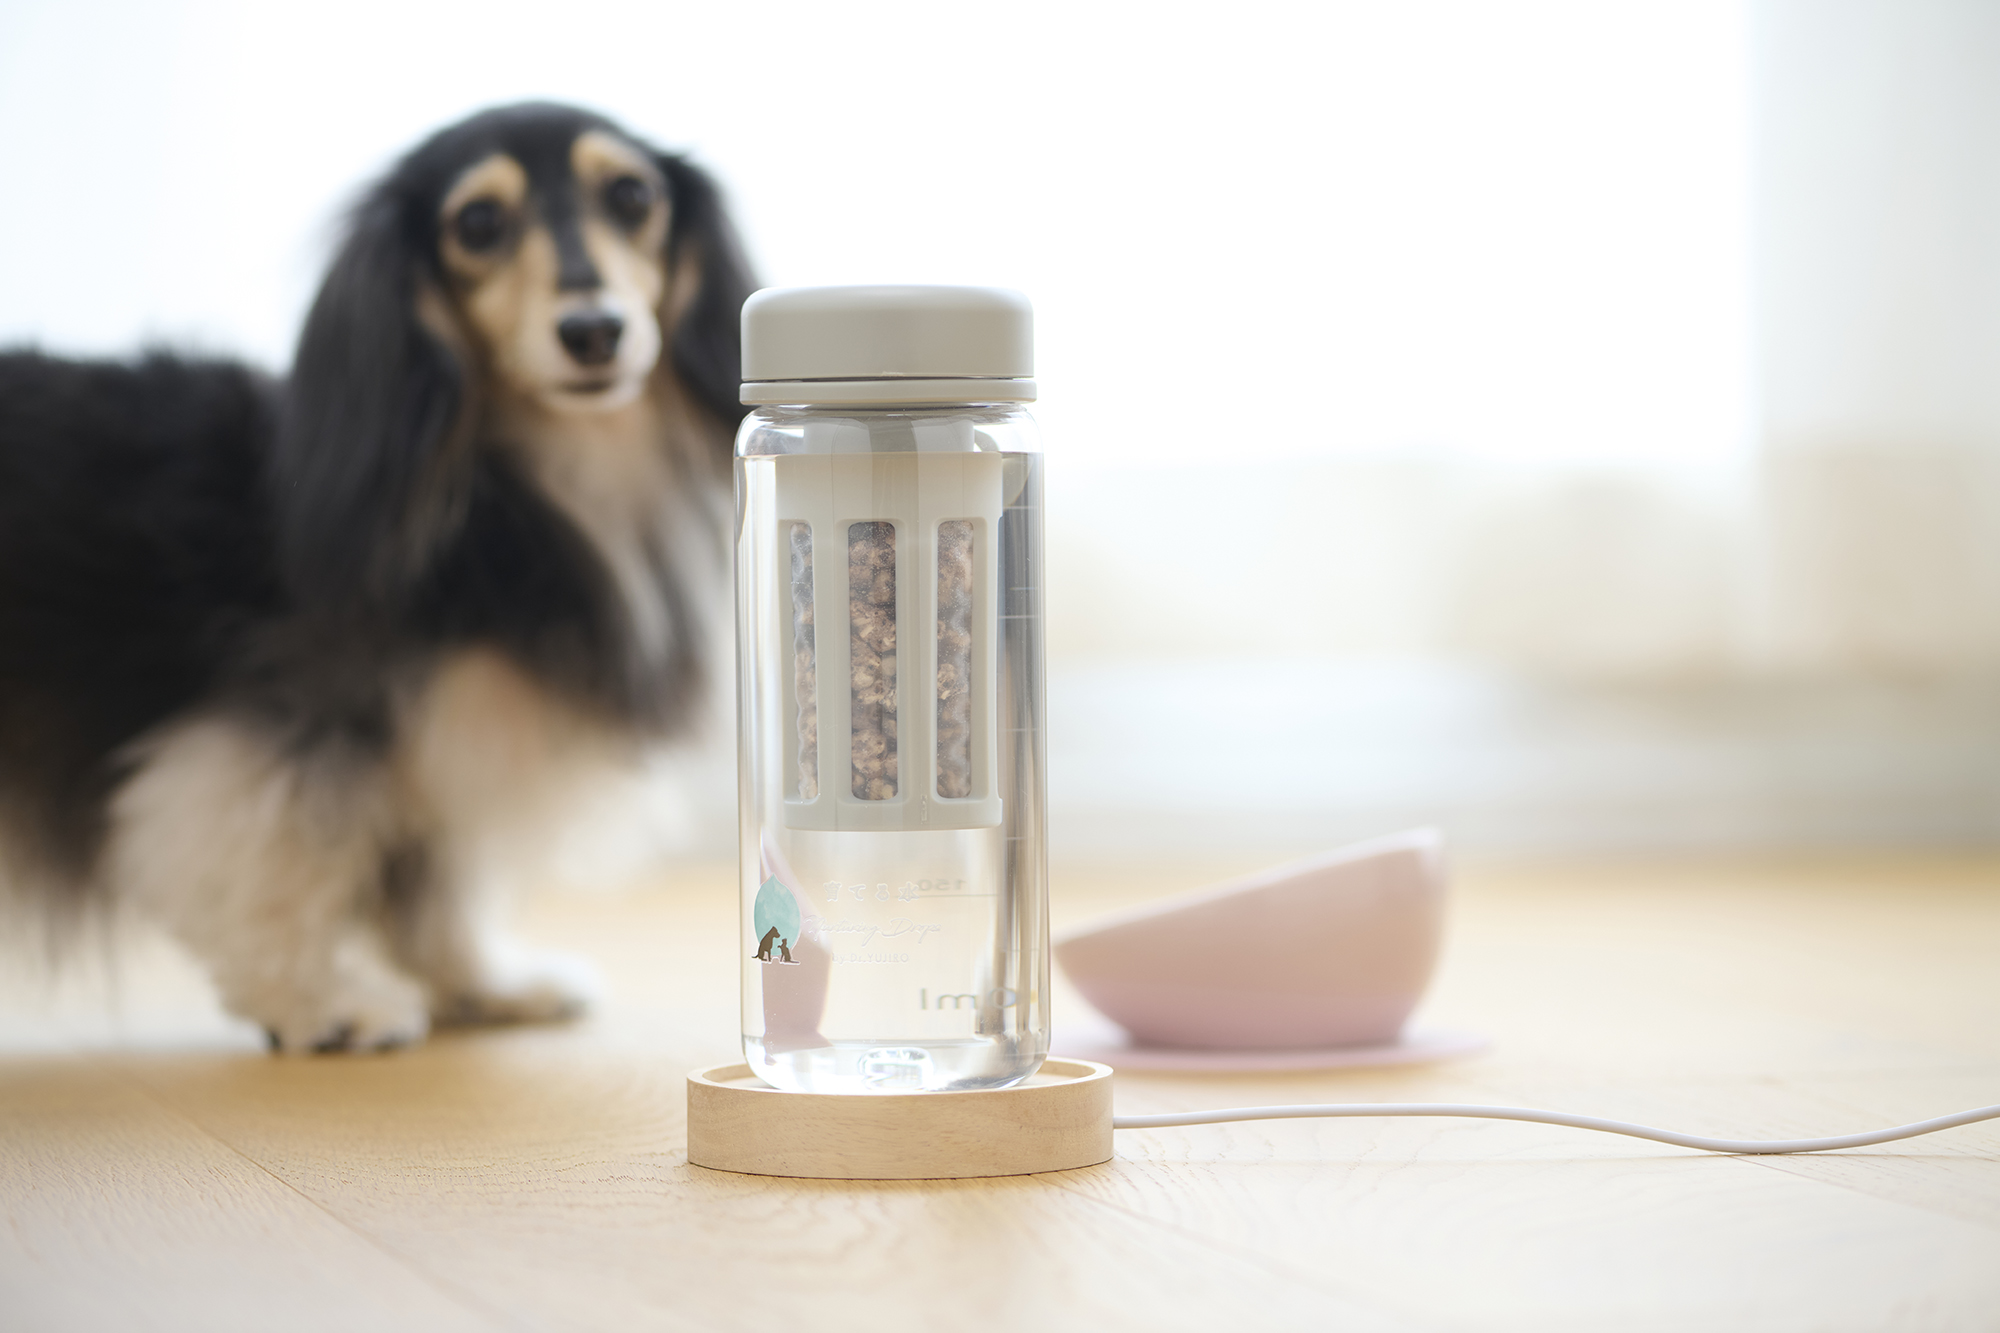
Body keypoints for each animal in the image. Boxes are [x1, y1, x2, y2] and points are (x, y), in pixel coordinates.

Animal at [0, 102, 754, 1052]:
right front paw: (320, 1000)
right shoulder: (288, 722)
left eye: (632, 195)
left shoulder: (445, 734)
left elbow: (441, 872)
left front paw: (486, 981)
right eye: (478, 222)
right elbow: (276, 858)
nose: (593, 330)